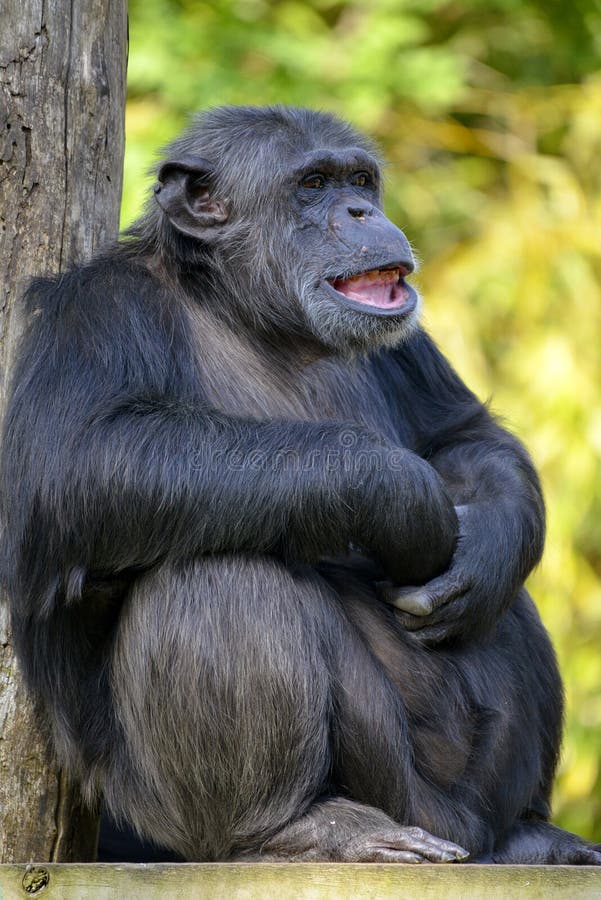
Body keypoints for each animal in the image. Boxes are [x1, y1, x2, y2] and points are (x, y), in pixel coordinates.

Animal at [2, 105, 596, 864]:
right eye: (312, 184)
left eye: (359, 180)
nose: (360, 210)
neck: (244, 308)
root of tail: (455, 832)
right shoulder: (92, 311)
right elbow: (76, 458)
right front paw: (401, 495)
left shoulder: (411, 344)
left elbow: (464, 434)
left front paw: (479, 546)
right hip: (222, 809)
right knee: (219, 572)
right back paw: (299, 825)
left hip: (452, 800)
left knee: (503, 599)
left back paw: (526, 832)